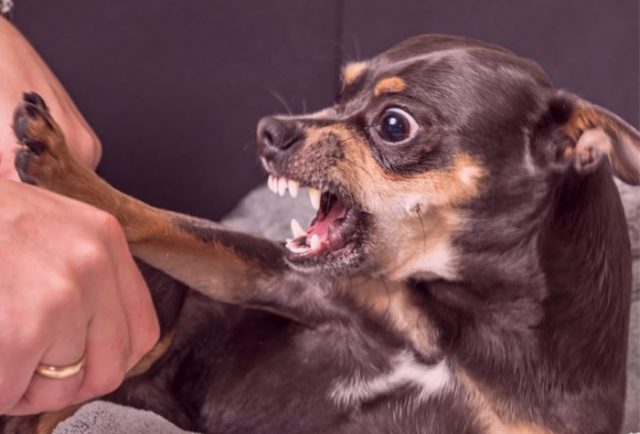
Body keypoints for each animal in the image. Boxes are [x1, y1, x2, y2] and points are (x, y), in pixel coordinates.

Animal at [1, 34, 639, 434]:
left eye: (394, 124)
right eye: (340, 93)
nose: (269, 129)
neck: (462, 327)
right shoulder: (278, 280)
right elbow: (162, 220)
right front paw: (65, 169)